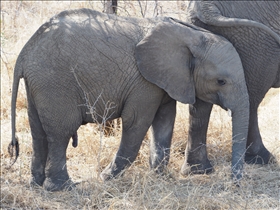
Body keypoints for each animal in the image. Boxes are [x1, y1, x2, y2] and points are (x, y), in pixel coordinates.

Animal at [9, 9, 248, 191]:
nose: (234, 183)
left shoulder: (165, 80)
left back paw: (36, 185)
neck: (190, 35)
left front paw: (161, 178)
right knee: (61, 133)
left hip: (38, 85)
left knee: (38, 133)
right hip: (54, 83)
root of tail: (24, 54)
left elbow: (164, 122)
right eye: (221, 81)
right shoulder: (144, 82)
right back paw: (63, 188)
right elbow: (137, 123)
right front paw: (105, 178)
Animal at [182, 1, 280, 176]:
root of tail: (207, 6)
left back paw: (197, 170)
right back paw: (262, 158)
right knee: (252, 102)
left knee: (200, 105)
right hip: (257, 45)